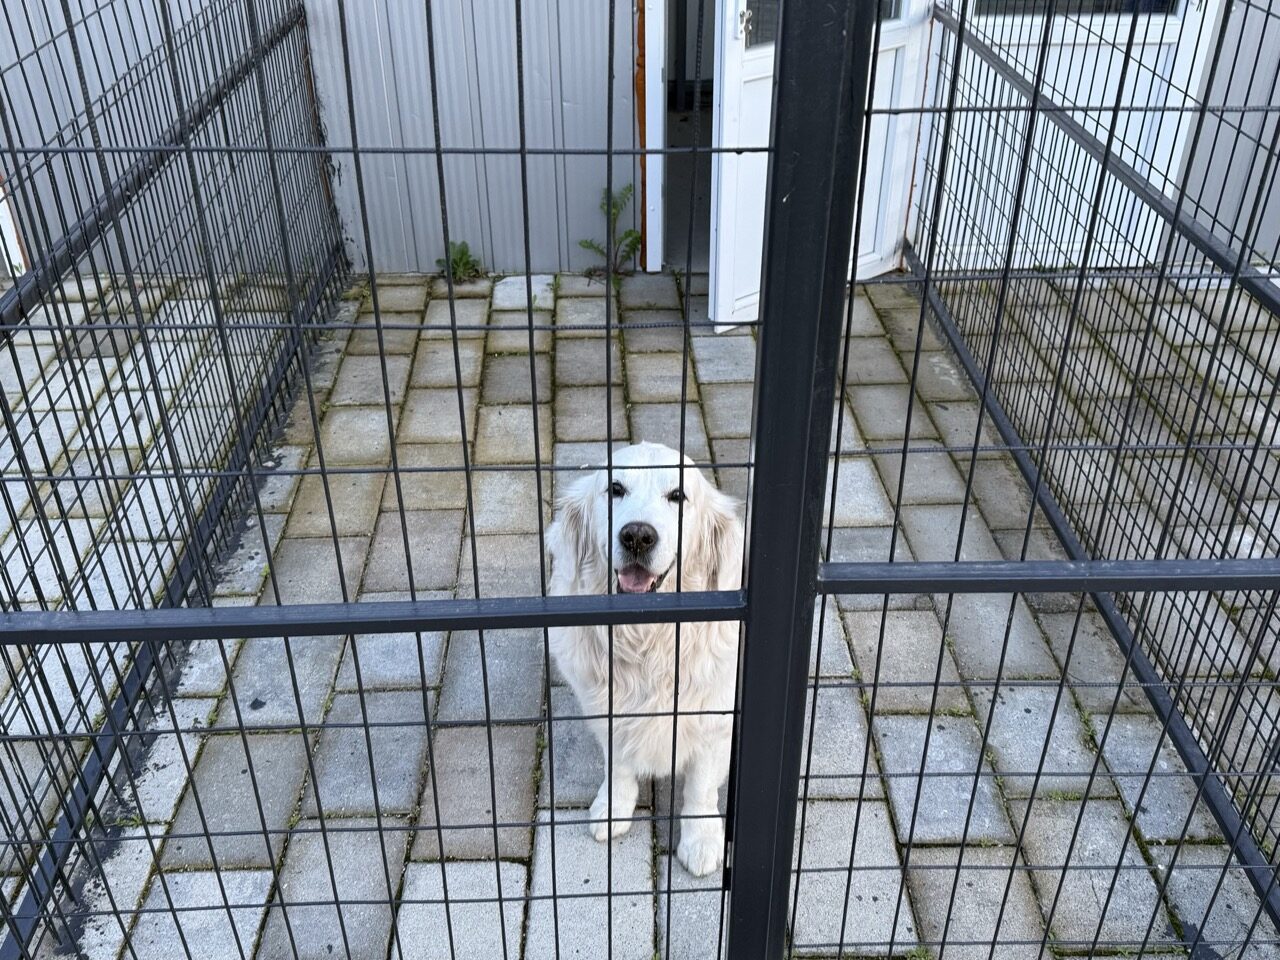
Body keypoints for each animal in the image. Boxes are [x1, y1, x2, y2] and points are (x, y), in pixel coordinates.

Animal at [547, 441, 744, 876]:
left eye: (678, 496)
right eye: (615, 489)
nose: (637, 535)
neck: (648, 636)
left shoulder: (714, 719)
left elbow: (701, 787)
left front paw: (702, 841)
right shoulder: (609, 714)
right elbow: (618, 768)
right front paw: (612, 810)